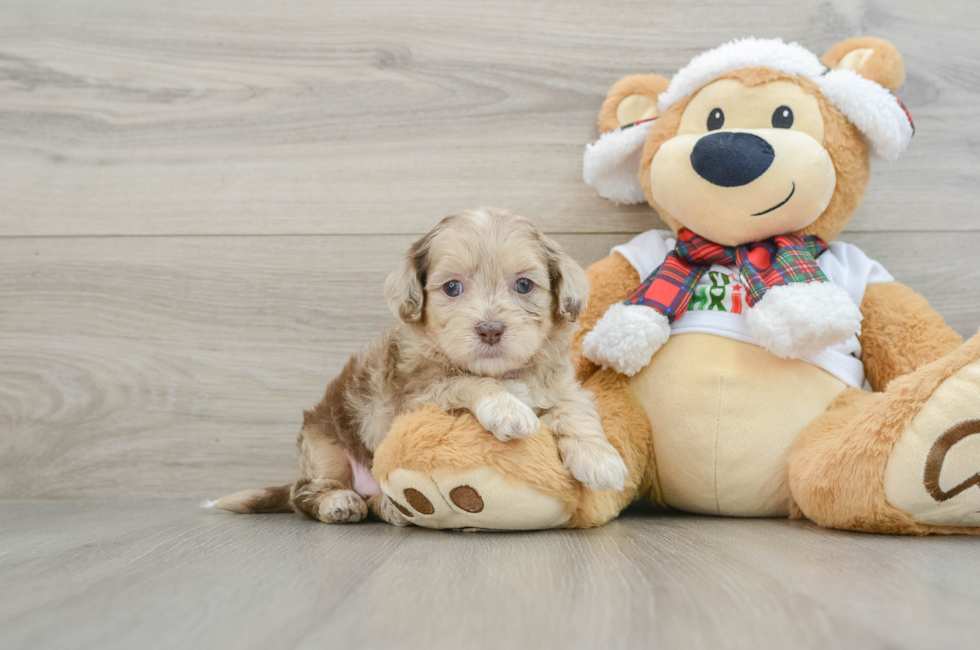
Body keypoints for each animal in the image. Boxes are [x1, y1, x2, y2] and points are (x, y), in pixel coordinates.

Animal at [213, 205, 628, 524]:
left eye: (524, 285)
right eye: (452, 288)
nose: (490, 329)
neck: (503, 371)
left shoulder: (559, 385)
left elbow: (575, 410)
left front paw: (600, 457)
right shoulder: (414, 398)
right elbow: (466, 382)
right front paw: (506, 407)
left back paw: (386, 506)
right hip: (322, 445)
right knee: (306, 494)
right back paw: (340, 502)